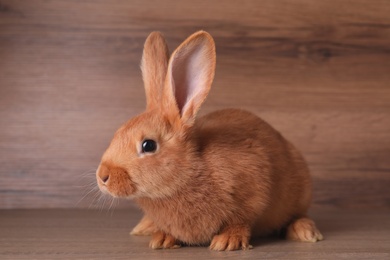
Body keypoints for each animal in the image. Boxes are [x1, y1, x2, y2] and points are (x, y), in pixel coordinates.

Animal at [96, 31, 322, 252]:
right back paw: (144, 227)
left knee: (298, 214)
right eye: (118, 132)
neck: (187, 173)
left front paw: (227, 241)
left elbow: (241, 220)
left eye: (148, 145)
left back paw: (306, 232)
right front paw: (162, 238)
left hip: (301, 192)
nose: (102, 176)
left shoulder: (255, 185)